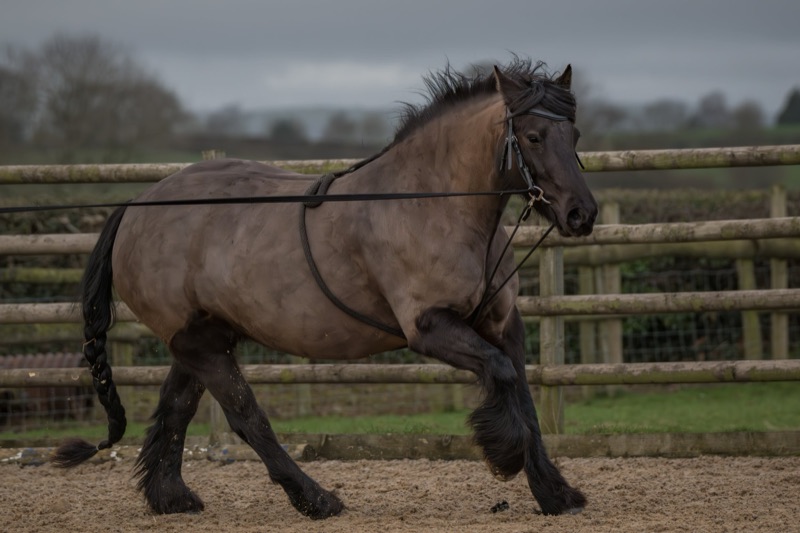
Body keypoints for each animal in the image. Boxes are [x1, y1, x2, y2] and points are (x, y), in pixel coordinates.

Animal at [52, 57, 598, 519]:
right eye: (532, 135)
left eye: (573, 132)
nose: (581, 214)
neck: (432, 204)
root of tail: (136, 206)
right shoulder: (431, 327)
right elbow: (503, 377)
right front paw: (504, 455)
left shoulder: (501, 324)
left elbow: (523, 393)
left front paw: (556, 493)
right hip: (201, 344)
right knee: (246, 418)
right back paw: (316, 499)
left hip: (202, 337)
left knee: (176, 407)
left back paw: (172, 498)